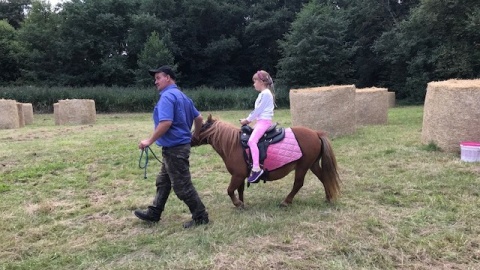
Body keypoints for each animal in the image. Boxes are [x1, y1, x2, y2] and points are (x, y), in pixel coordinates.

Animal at [191, 115, 342, 208]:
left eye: (201, 126)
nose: (190, 139)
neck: (233, 145)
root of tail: (316, 133)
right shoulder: (240, 176)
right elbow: (239, 190)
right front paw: (242, 204)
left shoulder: (237, 175)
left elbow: (229, 190)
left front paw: (237, 204)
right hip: (312, 165)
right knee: (324, 178)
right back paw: (328, 198)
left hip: (303, 166)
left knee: (298, 184)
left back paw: (286, 202)